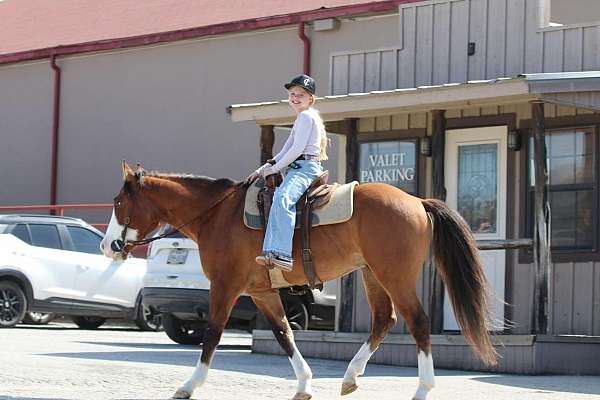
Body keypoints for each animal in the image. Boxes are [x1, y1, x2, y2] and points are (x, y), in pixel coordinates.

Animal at [102, 162, 496, 400]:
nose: (108, 246)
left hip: (394, 276)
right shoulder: (261, 292)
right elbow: (283, 333)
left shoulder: (225, 286)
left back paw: (423, 388)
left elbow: (212, 334)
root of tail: (417, 202)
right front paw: (304, 384)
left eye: (119, 202)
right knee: (384, 321)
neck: (217, 215)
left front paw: (188, 385)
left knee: (418, 323)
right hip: (372, 275)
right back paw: (350, 377)